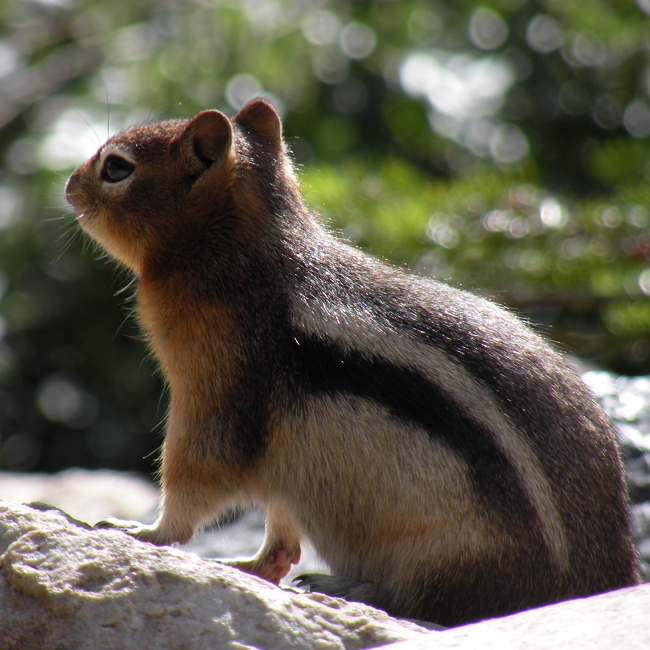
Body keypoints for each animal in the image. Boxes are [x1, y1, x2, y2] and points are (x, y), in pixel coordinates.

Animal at [65, 98, 639, 627]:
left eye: (116, 167)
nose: (69, 187)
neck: (237, 251)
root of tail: (605, 576)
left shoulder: (215, 388)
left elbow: (198, 474)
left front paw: (141, 531)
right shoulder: (282, 460)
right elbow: (280, 534)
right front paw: (251, 565)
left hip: (445, 555)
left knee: (430, 601)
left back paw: (350, 585)